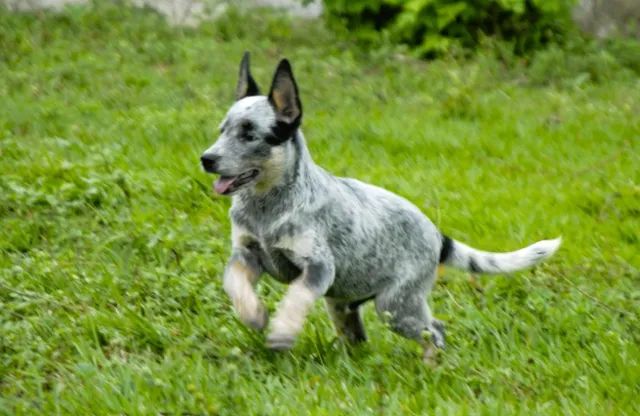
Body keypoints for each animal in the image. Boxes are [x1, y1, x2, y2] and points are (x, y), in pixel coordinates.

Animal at [200, 52, 560, 360]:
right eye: (222, 130)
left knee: (435, 331)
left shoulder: (318, 267)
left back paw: (431, 365)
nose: (206, 158)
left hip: (395, 305)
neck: (267, 206)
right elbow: (233, 282)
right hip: (344, 304)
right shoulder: (246, 254)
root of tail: (437, 236)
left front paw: (283, 331)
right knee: (363, 336)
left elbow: (296, 297)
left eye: (249, 135)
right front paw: (254, 314)